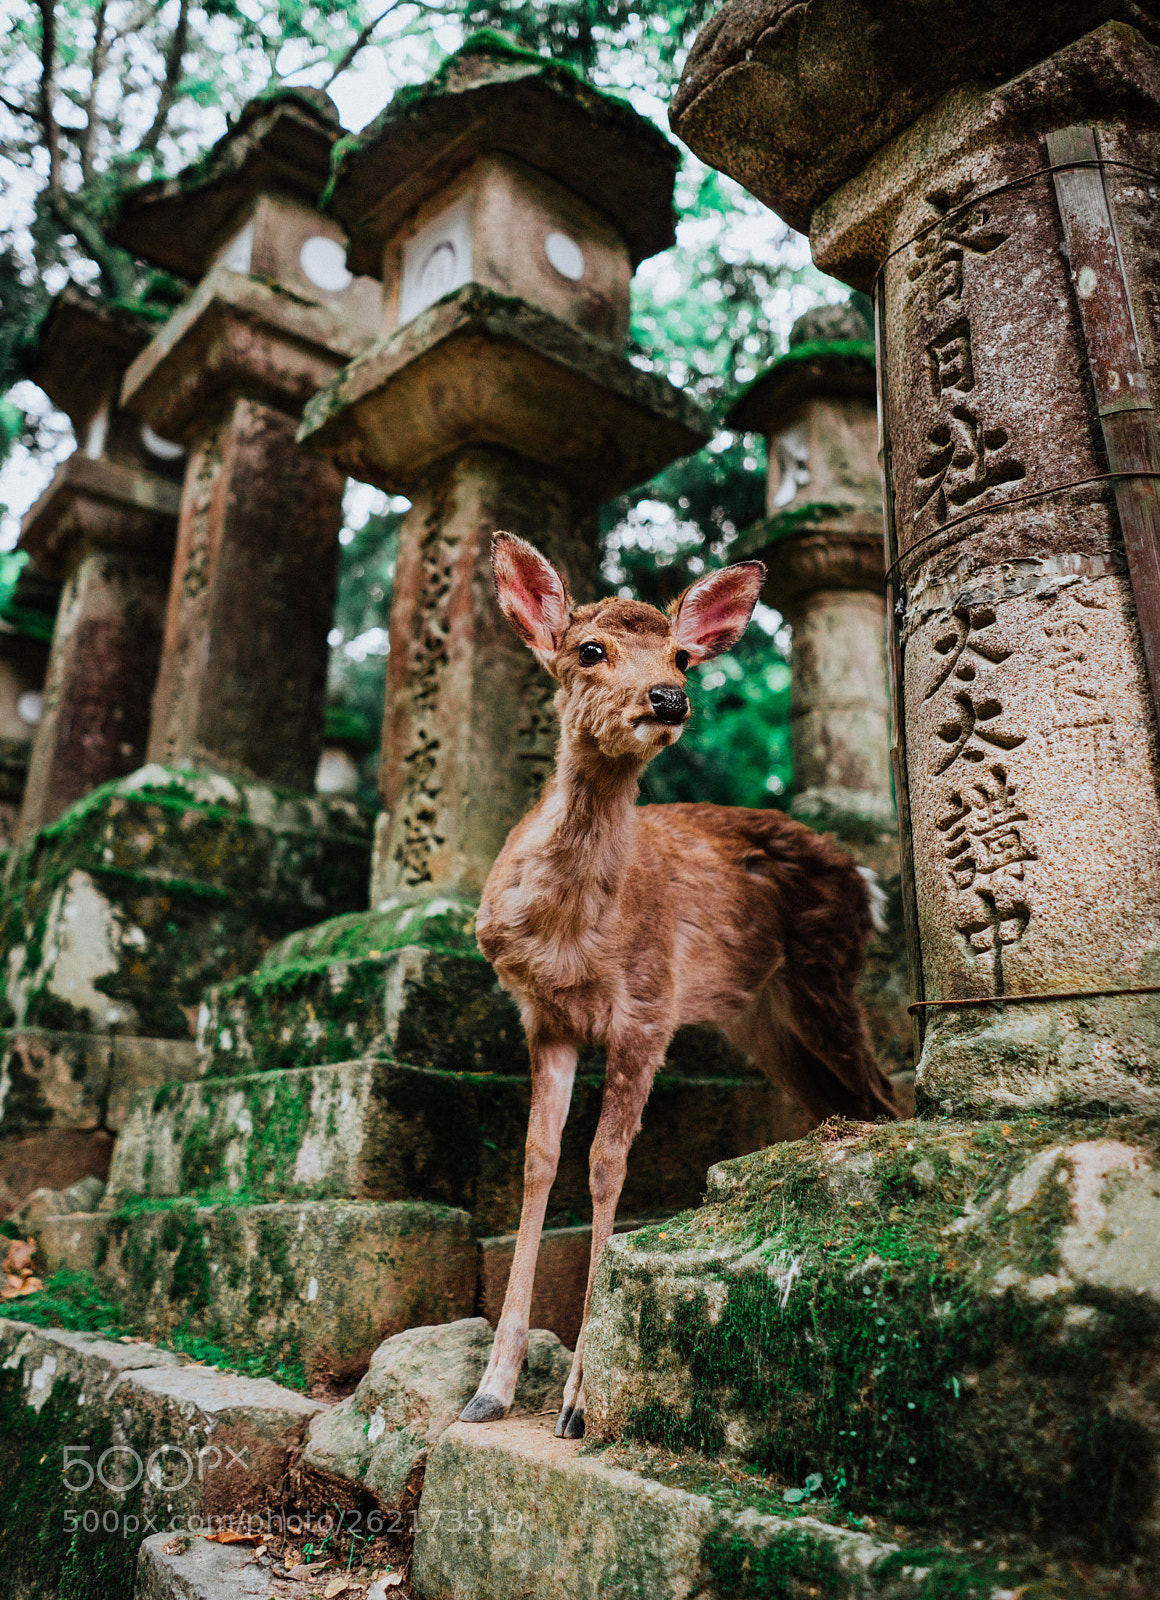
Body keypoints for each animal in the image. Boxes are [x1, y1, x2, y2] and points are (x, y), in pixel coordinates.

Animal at [460, 532, 900, 1438]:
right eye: (590, 650)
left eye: (682, 655)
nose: (669, 698)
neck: (570, 932)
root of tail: (866, 881)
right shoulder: (543, 1016)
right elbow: (539, 1160)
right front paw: (490, 1388)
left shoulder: (648, 1005)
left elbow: (606, 1165)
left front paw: (576, 1401)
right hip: (764, 1020)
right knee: (846, 1106)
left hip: (827, 980)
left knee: (886, 1096)